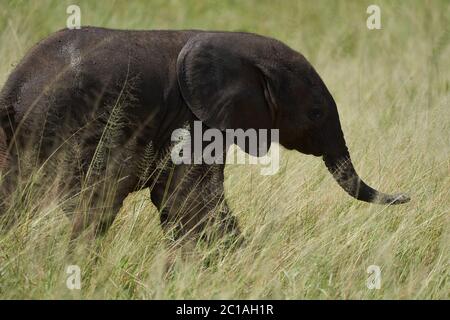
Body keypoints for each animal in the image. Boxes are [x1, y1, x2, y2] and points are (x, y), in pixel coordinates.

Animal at [0, 27, 410, 241]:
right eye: (316, 113)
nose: (408, 196)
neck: (239, 45)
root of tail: (13, 91)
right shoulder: (196, 118)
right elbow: (190, 200)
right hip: (69, 129)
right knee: (93, 201)